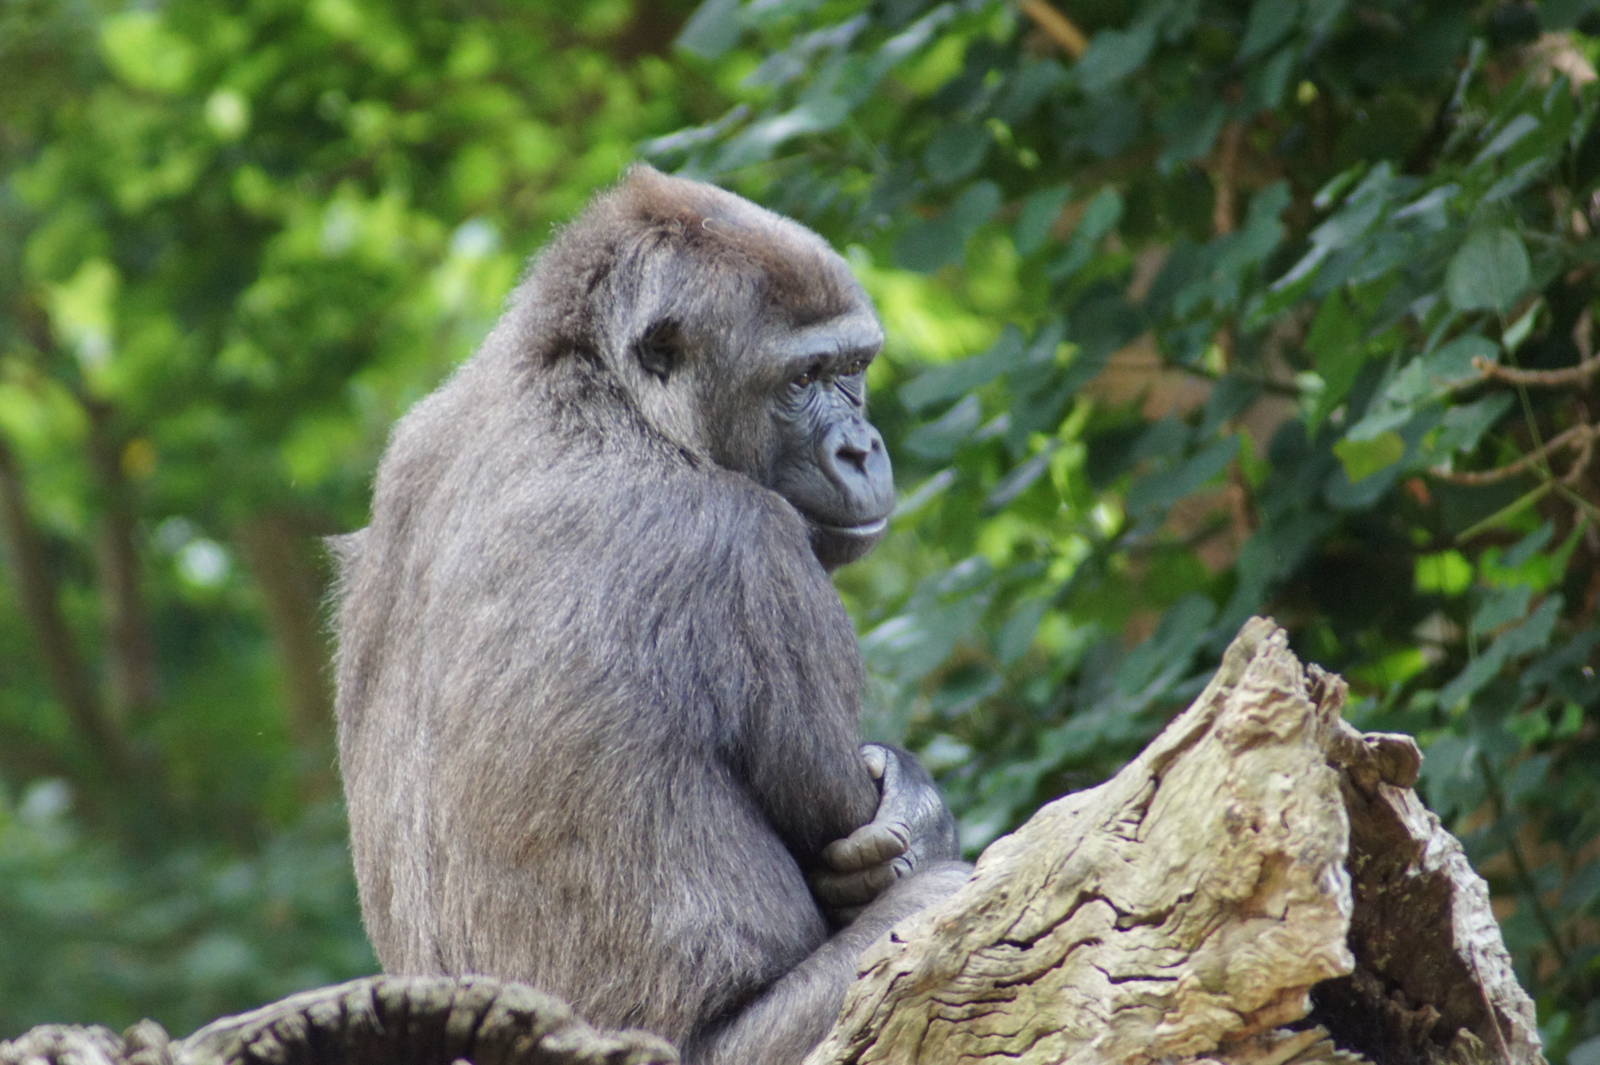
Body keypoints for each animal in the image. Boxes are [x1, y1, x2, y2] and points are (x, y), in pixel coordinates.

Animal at [328, 165, 970, 1065]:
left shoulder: (414, 441)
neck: (591, 382)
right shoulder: (753, 544)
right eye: (801, 379)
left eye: (852, 367)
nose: (860, 449)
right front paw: (916, 808)